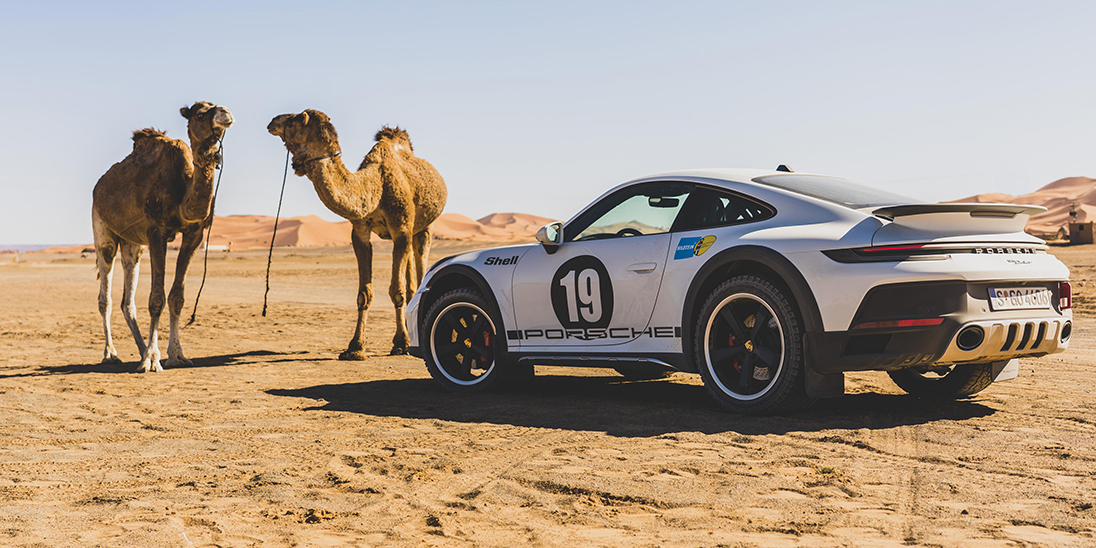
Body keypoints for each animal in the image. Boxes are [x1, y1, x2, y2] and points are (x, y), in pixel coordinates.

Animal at [91, 101, 233, 372]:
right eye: (200, 114)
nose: (225, 113)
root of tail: (99, 185)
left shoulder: (194, 234)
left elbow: (177, 297)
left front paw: (176, 355)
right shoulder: (156, 231)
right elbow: (156, 298)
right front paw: (152, 360)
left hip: (133, 245)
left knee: (127, 300)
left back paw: (139, 350)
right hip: (102, 228)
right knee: (105, 297)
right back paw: (111, 354)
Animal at [265, 111, 444, 359]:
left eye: (295, 120)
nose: (272, 122)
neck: (375, 187)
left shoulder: (400, 227)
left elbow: (396, 291)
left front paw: (400, 344)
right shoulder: (360, 232)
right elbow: (364, 294)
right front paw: (355, 347)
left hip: (425, 227)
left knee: (419, 265)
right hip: (411, 231)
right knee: (411, 281)